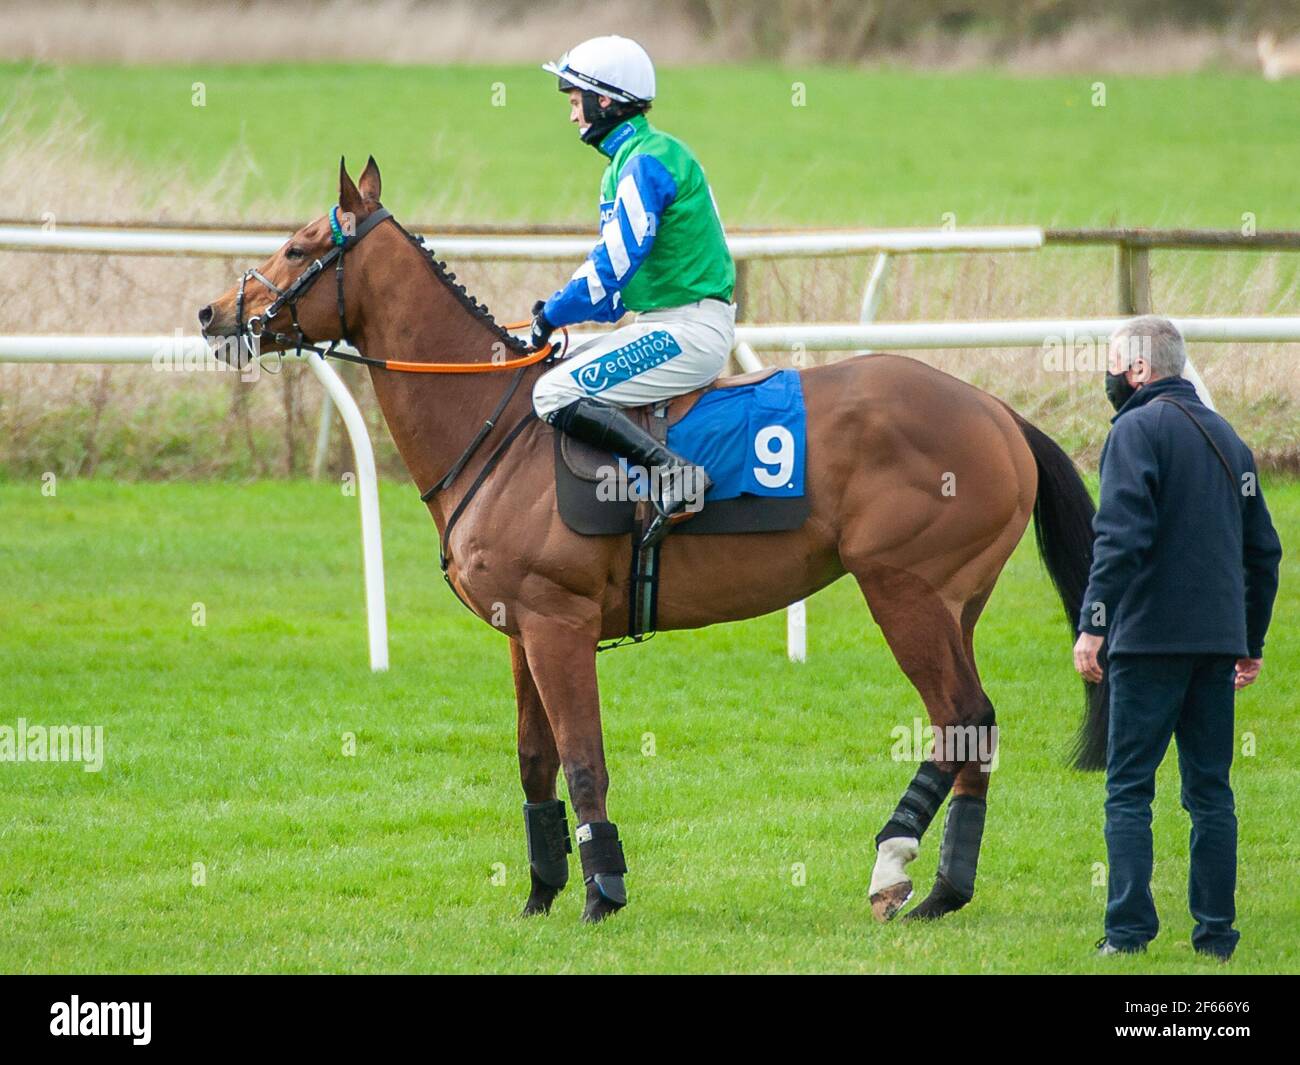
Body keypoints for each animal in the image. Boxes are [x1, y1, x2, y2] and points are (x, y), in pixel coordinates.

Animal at [197, 156, 1102, 925]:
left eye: (297, 245)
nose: (211, 313)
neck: (495, 425)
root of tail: (998, 412)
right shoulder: (522, 632)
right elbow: (534, 760)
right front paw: (539, 894)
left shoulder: (557, 623)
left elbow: (583, 758)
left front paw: (602, 893)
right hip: (957, 604)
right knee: (972, 732)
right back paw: (946, 889)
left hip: (903, 590)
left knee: (961, 717)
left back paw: (895, 866)